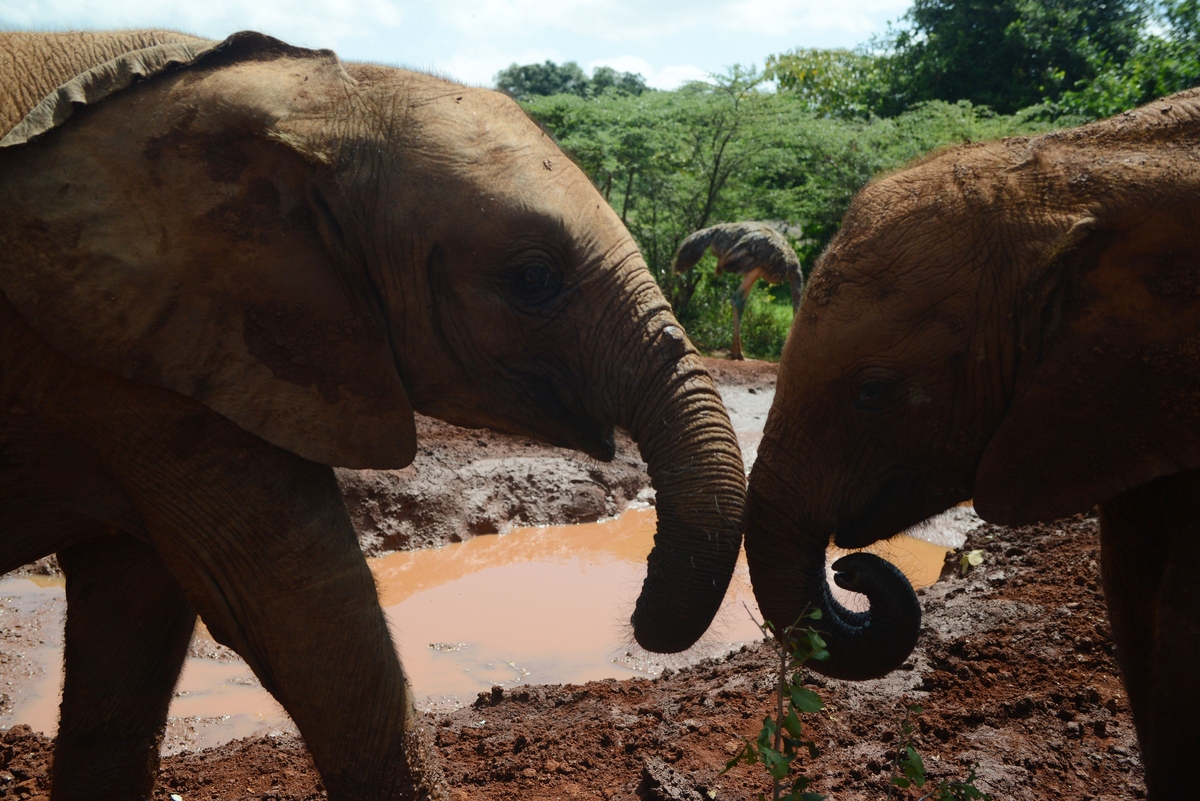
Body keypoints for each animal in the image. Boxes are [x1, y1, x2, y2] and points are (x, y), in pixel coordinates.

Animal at [0, 31, 747, 800]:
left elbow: (135, 624)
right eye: (533, 279)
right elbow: (301, 613)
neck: (317, 96)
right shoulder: (144, 353)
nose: (637, 617)